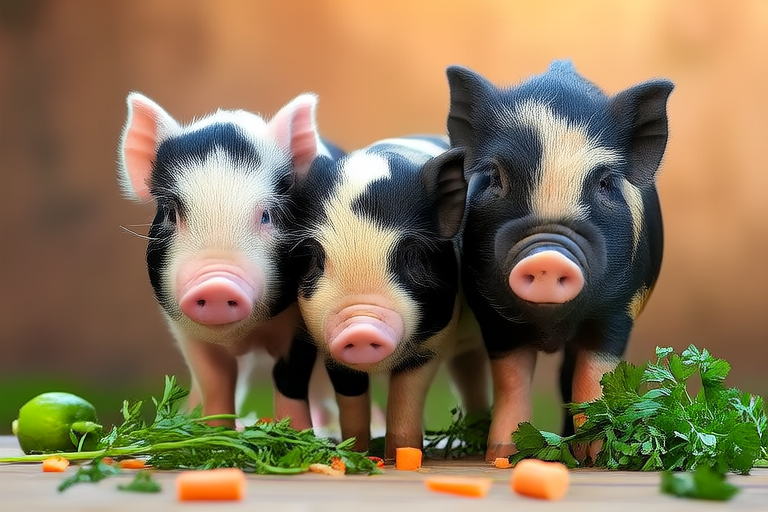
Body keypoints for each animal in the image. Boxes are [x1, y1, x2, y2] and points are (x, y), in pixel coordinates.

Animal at [117, 92, 341, 430]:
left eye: (268, 215)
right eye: (170, 212)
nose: (217, 285)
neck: (243, 337)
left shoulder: (301, 323)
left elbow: (289, 379)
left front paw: (296, 434)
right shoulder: (184, 330)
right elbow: (216, 381)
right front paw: (212, 433)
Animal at [290, 136, 490, 458]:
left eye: (413, 257)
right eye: (313, 260)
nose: (360, 327)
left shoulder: (433, 343)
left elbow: (406, 394)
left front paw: (401, 454)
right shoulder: (330, 351)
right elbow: (352, 401)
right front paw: (357, 451)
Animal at [445, 61, 673, 460]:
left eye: (605, 182)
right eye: (495, 177)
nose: (548, 256)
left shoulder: (619, 309)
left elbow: (594, 377)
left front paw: (596, 457)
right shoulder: (492, 314)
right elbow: (511, 378)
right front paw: (501, 454)